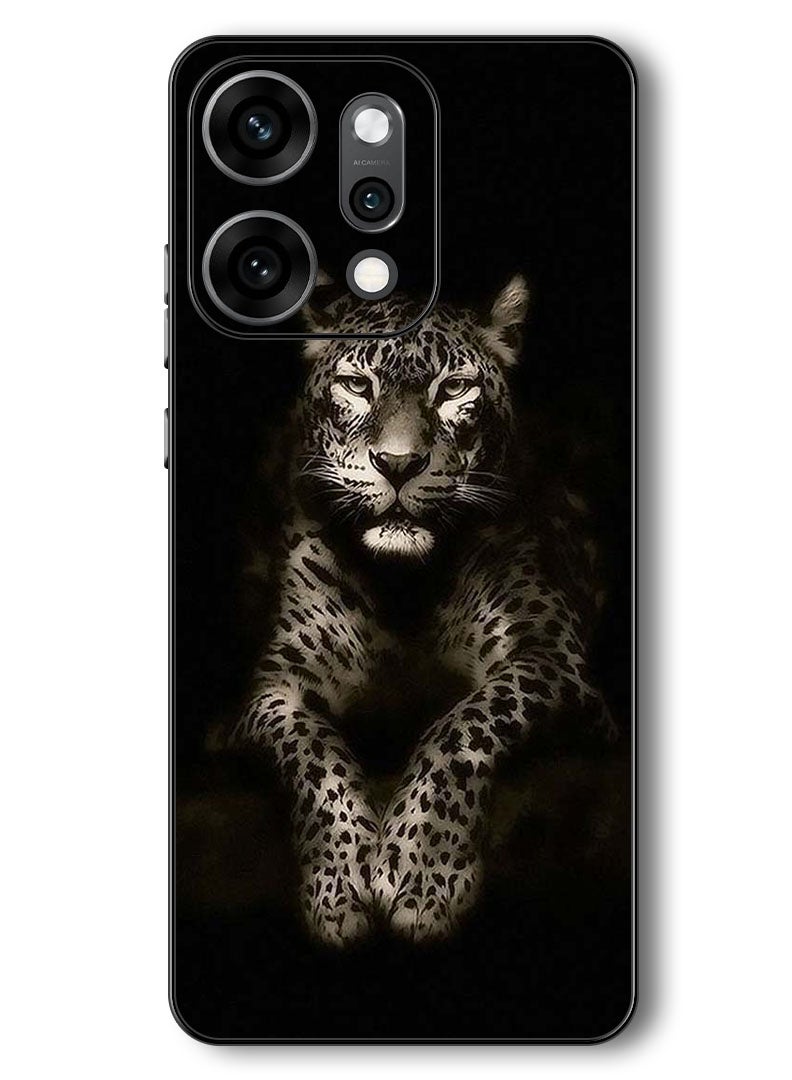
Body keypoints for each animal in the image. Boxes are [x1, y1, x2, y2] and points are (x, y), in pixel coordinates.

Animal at [229, 275, 616, 946]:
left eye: (454, 388)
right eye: (358, 385)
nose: (399, 464)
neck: (404, 588)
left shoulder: (552, 658)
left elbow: (463, 725)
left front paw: (421, 873)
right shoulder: (274, 688)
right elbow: (312, 751)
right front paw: (339, 884)